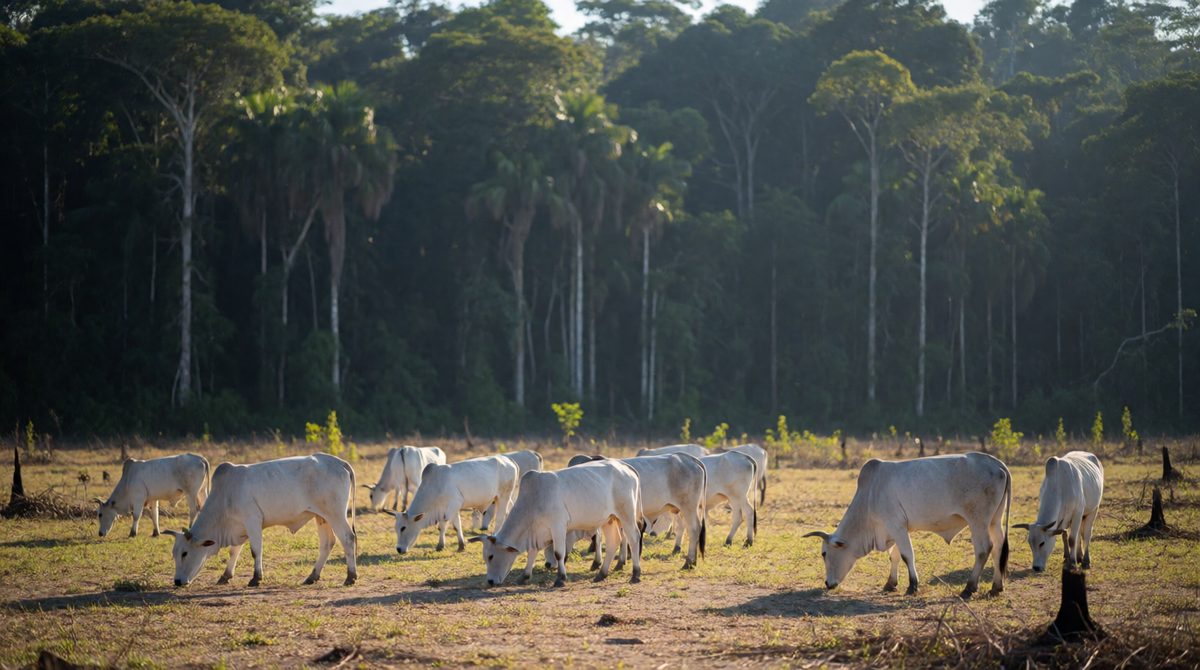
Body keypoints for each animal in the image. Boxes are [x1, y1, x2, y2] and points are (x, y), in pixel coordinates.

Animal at [162, 453, 358, 588]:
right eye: (174, 554)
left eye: (185, 553)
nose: (177, 581)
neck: (225, 496)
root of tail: (339, 462)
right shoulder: (239, 527)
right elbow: (234, 551)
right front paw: (225, 576)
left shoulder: (252, 521)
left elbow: (255, 551)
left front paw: (256, 578)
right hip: (322, 517)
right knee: (327, 543)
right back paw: (312, 576)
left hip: (335, 514)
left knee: (348, 538)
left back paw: (350, 577)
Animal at [390, 455, 518, 554]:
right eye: (396, 528)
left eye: (403, 528)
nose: (399, 549)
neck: (435, 485)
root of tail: (508, 459)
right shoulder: (452, 508)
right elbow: (457, 526)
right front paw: (461, 545)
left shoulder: (453, 504)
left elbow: (442, 526)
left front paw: (440, 546)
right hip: (505, 498)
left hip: (504, 496)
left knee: (500, 518)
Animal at [471, 459, 643, 588]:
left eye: (491, 556)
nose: (490, 581)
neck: (533, 500)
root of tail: (624, 466)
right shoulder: (536, 532)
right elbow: (532, 552)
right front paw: (524, 576)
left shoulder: (558, 526)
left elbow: (558, 553)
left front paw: (560, 578)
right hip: (609, 519)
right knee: (614, 541)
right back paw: (601, 574)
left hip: (626, 514)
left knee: (634, 538)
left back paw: (635, 574)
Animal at [804, 452, 1012, 599]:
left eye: (824, 554)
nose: (827, 583)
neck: (869, 496)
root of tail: (997, 464)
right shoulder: (898, 529)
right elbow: (894, 556)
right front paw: (890, 584)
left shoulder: (896, 525)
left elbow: (906, 555)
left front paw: (912, 586)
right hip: (995, 521)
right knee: (998, 548)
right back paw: (996, 587)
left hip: (978, 521)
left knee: (984, 549)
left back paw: (969, 588)